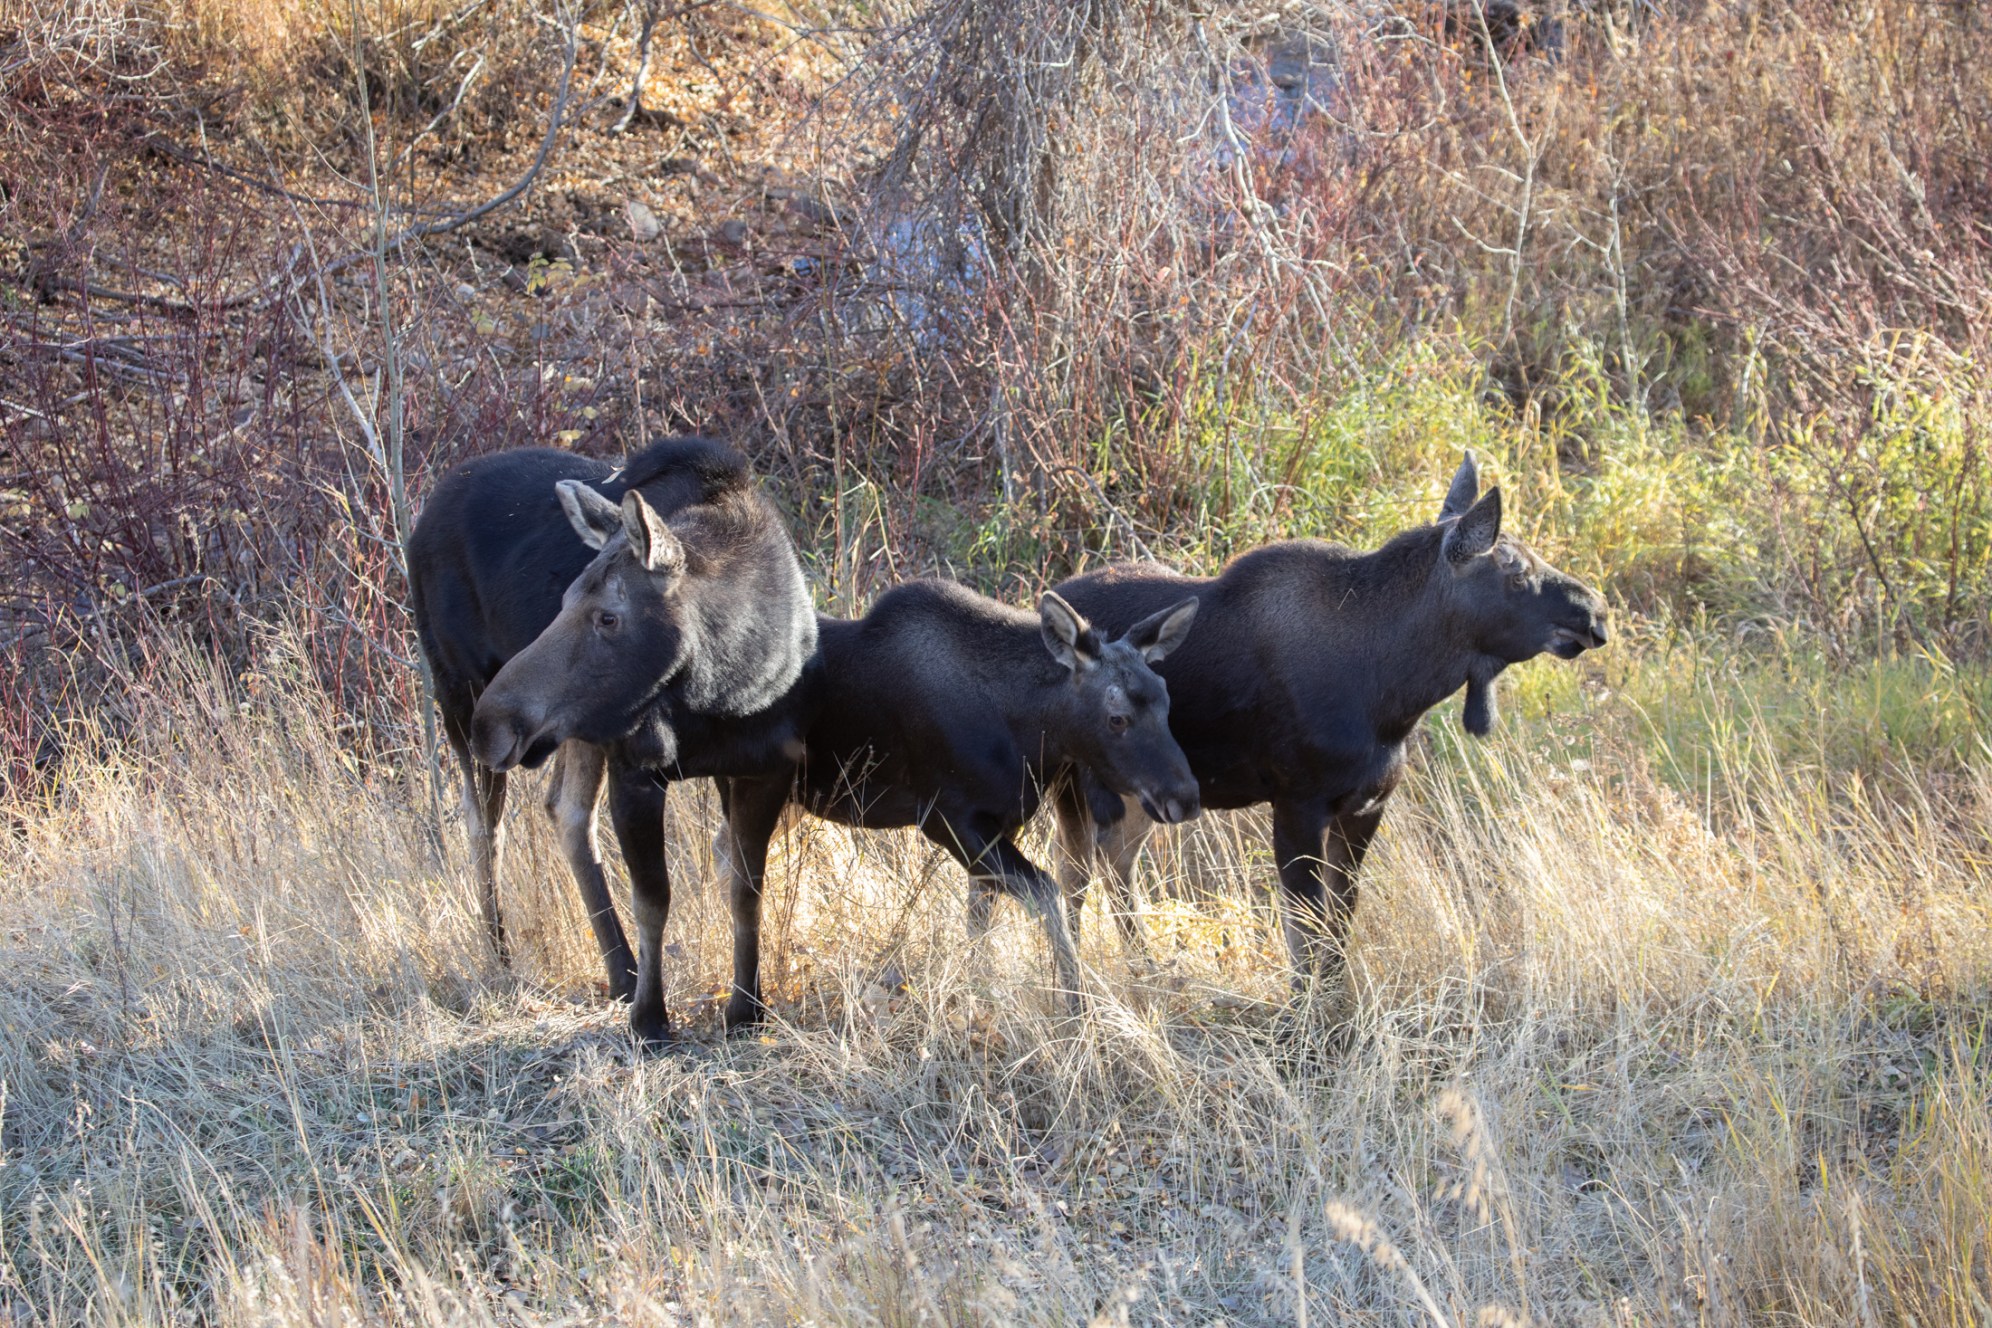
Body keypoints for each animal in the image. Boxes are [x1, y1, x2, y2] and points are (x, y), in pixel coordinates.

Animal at [408, 434, 820, 1035]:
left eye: (608, 617)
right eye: (562, 603)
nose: (496, 722)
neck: (729, 684)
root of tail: (424, 513)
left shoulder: (764, 770)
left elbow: (746, 889)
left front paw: (747, 1007)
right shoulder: (637, 769)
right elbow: (654, 897)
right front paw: (651, 1019)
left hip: (573, 730)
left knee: (565, 809)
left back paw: (620, 970)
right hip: (459, 692)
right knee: (486, 825)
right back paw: (503, 954)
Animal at [717, 581, 1195, 1027]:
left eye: (1167, 701)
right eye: (1117, 718)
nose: (1185, 797)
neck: (1025, 727)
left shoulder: (1001, 820)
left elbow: (980, 918)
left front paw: (979, 995)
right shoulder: (946, 818)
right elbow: (1045, 891)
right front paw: (1076, 1008)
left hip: (793, 799)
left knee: (723, 853)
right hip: (758, 782)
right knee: (743, 877)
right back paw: (744, 1007)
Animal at [1051, 451, 1609, 991]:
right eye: (1515, 571)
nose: (1596, 612)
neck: (1392, 693)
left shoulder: (1365, 806)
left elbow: (1341, 918)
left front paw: (1336, 1003)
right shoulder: (1297, 803)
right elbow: (1305, 929)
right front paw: (1302, 1016)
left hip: (1141, 793)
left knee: (1112, 861)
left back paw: (1145, 969)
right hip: (1072, 784)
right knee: (1072, 876)